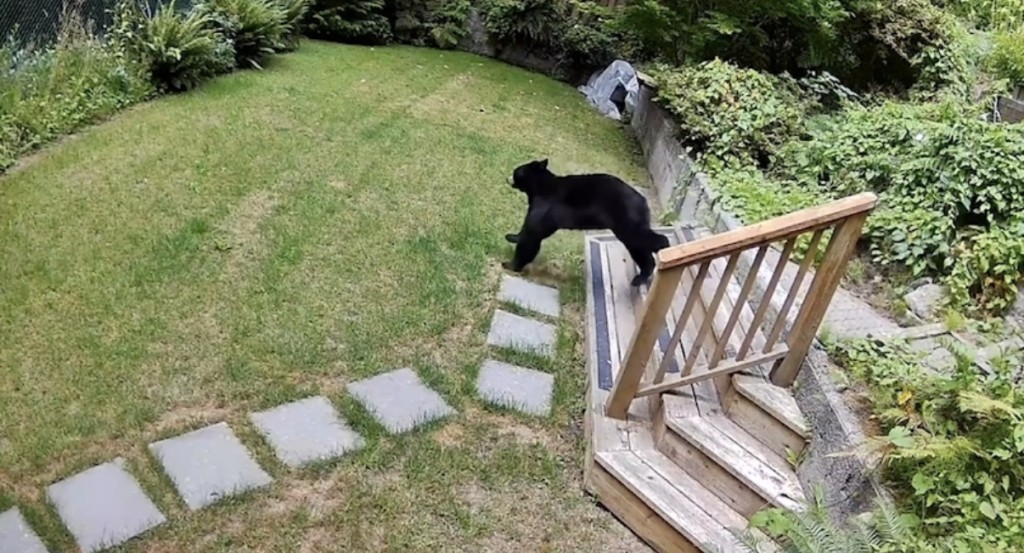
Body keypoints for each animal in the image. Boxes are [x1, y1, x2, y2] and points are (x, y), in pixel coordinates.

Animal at [501, 159, 671, 286]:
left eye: (516, 171)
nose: (507, 177)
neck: (539, 187)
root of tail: (643, 201)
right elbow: (533, 231)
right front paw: (512, 239)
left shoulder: (544, 206)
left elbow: (531, 234)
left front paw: (510, 263)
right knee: (639, 248)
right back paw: (640, 277)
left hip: (627, 218)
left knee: (644, 237)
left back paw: (666, 249)